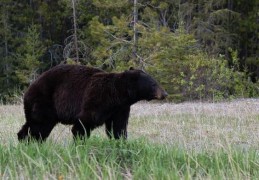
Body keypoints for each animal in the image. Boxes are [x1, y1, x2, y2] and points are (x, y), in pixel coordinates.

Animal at [18, 64, 169, 141]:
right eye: (154, 84)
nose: (165, 93)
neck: (117, 95)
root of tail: (29, 88)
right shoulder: (97, 98)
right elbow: (84, 122)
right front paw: (80, 142)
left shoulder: (120, 108)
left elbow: (118, 127)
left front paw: (120, 141)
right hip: (43, 101)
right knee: (39, 125)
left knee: (34, 126)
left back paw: (25, 141)